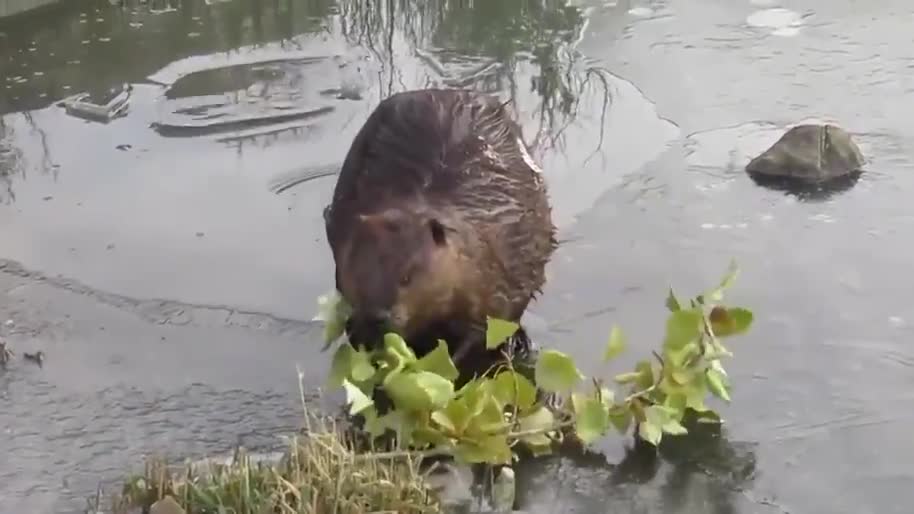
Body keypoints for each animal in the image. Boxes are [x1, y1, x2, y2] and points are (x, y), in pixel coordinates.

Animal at [324, 88, 560, 382]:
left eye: (407, 277)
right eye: (360, 275)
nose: (377, 316)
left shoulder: (492, 267)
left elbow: (482, 327)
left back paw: (520, 342)